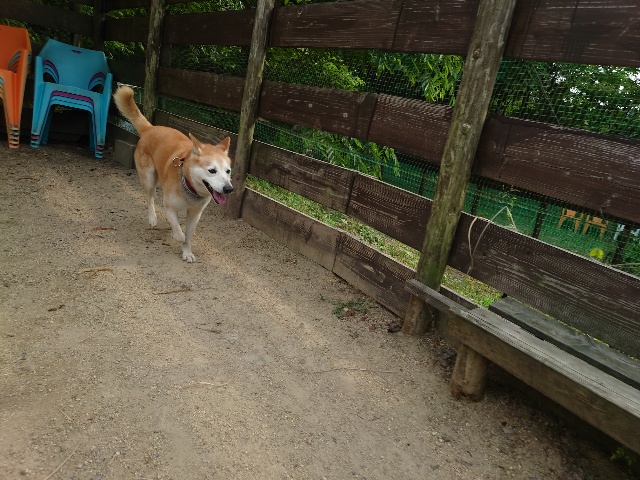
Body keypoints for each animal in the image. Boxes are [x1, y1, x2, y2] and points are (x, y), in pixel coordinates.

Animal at [112, 85, 233, 263]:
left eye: (228, 171)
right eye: (212, 170)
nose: (228, 189)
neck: (189, 186)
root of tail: (150, 128)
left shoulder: (195, 215)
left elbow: (188, 235)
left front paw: (187, 252)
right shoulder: (169, 206)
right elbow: (178, 229)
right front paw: (178, 236)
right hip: (149, 178)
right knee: (149, 198)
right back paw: (152, 217)